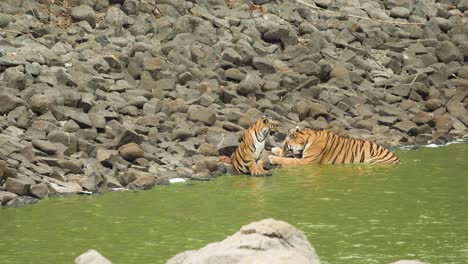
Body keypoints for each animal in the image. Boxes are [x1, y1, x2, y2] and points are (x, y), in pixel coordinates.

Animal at [268, 127, 400, 166]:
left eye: (285, 146)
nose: (283, 149)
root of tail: (398, 160)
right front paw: (275, 149)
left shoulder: (308, 161)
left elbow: (289, 160)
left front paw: (272, 157)